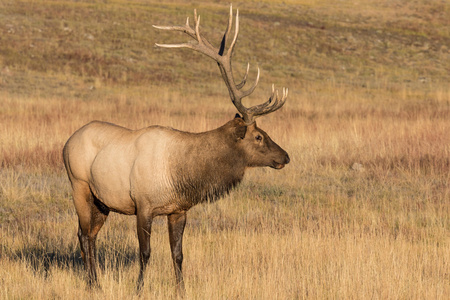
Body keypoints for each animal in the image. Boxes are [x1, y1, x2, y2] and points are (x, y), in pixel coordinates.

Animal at [62, 4, 288, 296]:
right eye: (259, 136)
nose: (285, 156)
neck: (182, 173)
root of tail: (67, 142)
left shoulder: (179, 209)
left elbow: (178, 254)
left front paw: (182, 290)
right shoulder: (143, 205)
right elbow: (145, 253)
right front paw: (139, 289)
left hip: (103, 201)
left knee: (90, 234)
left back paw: (95, 282)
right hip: (79, 185)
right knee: (82, 233)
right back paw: (93, 284)